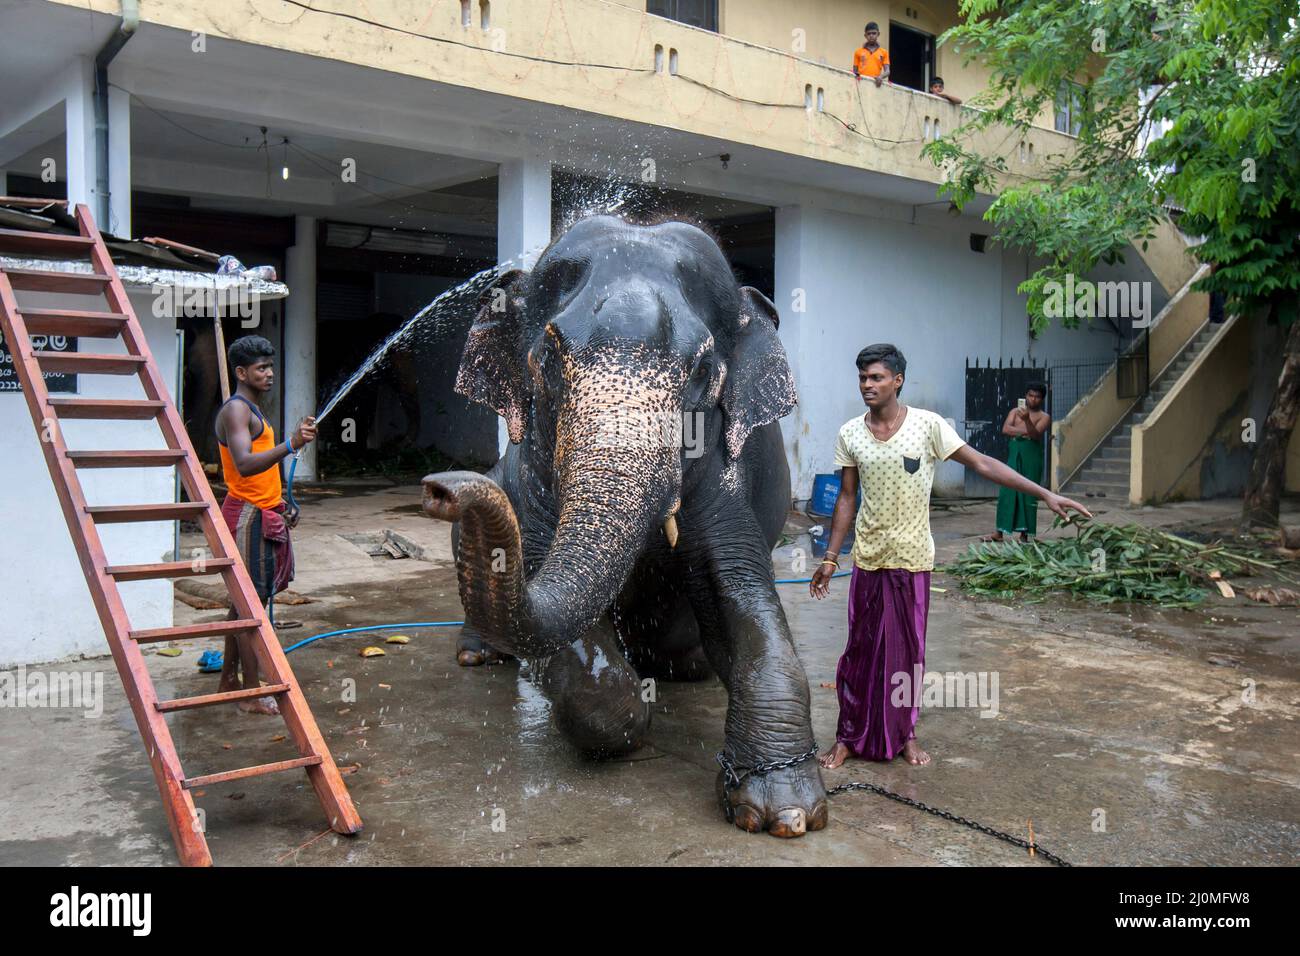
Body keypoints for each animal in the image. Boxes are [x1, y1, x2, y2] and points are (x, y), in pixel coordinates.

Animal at [421, 214, 826, 837]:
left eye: (704, 372)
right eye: (550, 358)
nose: (442, 489)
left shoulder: (727, 466)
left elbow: (738, 592)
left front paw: (783, 810)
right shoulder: (534, 471)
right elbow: (558, 614)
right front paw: (632, 726)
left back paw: (687, 668)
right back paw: (477, 655)